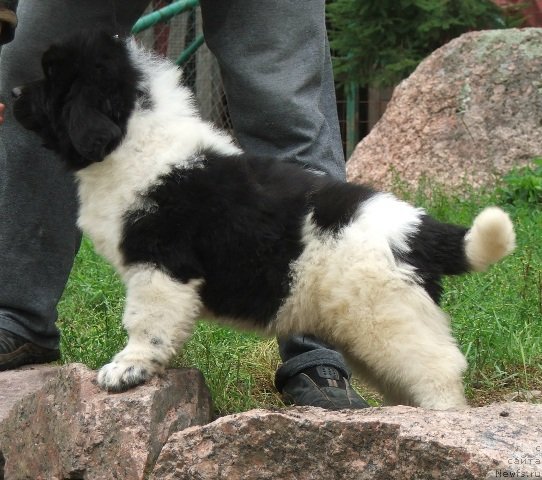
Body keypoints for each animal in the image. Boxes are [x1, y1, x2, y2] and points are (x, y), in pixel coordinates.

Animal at [10, 31, 516, 408]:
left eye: (51, 77)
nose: (12, 92)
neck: (136, 140)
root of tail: (417, 229)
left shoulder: (161, 264)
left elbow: (144, 321)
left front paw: (127, 369)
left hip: (391, 318)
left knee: (439, 372)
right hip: (371, 332)